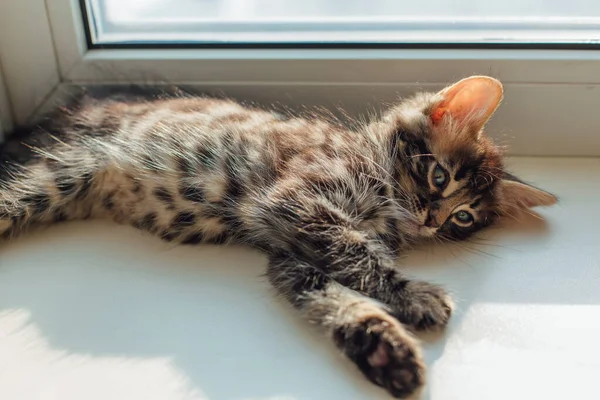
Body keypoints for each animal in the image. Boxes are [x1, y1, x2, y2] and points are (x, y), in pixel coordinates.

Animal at [0, 76, 556, 398]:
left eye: (464, 218)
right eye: (439, 177)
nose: (434, 221)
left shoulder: (290, 254)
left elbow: (335, 298)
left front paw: (383, 349)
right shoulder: (298, 204)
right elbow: (361, 257)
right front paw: (417, 295)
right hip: (57, 174)